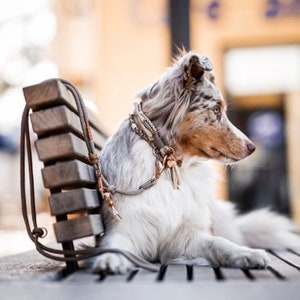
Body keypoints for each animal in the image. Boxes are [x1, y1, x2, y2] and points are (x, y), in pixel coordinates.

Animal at [91, 51, 300, 274]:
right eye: (216, 110)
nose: (252, 147)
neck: (168, 166)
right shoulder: (126, 229)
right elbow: (115, 246)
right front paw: (108, 259)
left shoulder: (187, 237)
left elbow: (219, 243)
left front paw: (247, 254)